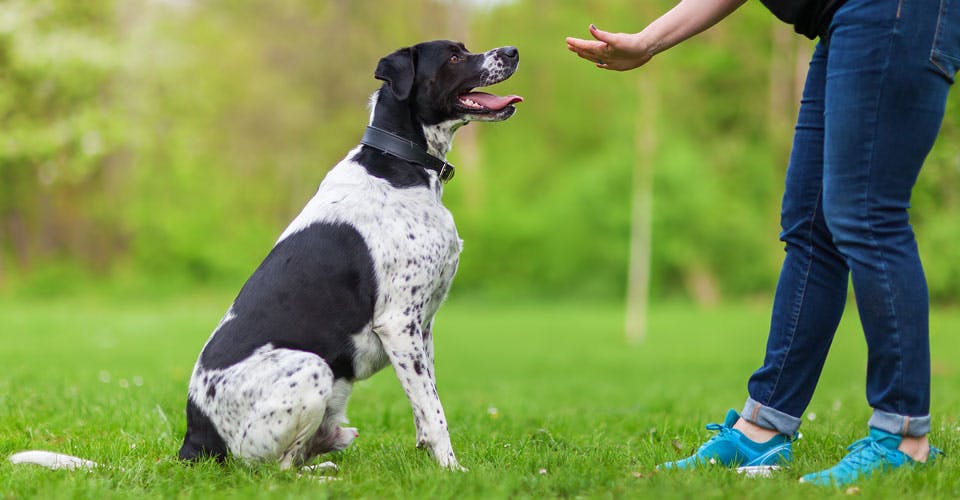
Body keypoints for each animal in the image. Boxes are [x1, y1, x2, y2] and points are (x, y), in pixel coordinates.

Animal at [9, 40, 516, 472]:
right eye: (454, 56)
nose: (511, 51)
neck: (400, 166)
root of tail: (193, 444)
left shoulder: (420, 329)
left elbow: (423, 410)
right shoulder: (398, 323)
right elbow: (434, 411)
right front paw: (452, 472)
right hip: (311, 369)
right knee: (273, 471)